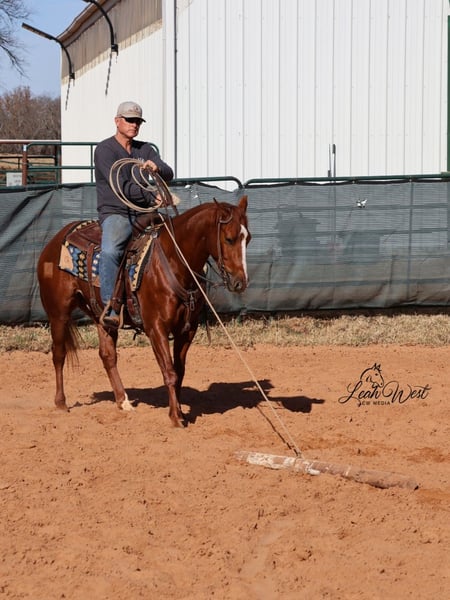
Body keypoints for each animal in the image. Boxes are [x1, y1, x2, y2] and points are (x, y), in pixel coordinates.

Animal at [37, 196, 250, 427]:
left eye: (248, 239)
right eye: (229, 239)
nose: (240, 283)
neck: (174, 261)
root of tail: (55, 240)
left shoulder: (188, 330)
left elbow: (179, 371)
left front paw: (179, 410)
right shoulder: (156, 328)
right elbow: (169, 371)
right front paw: (175, 417)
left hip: (101, 316)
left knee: (107, 355)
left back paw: (123, 401)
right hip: (58, 313)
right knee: (59, 354)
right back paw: (61, 403)